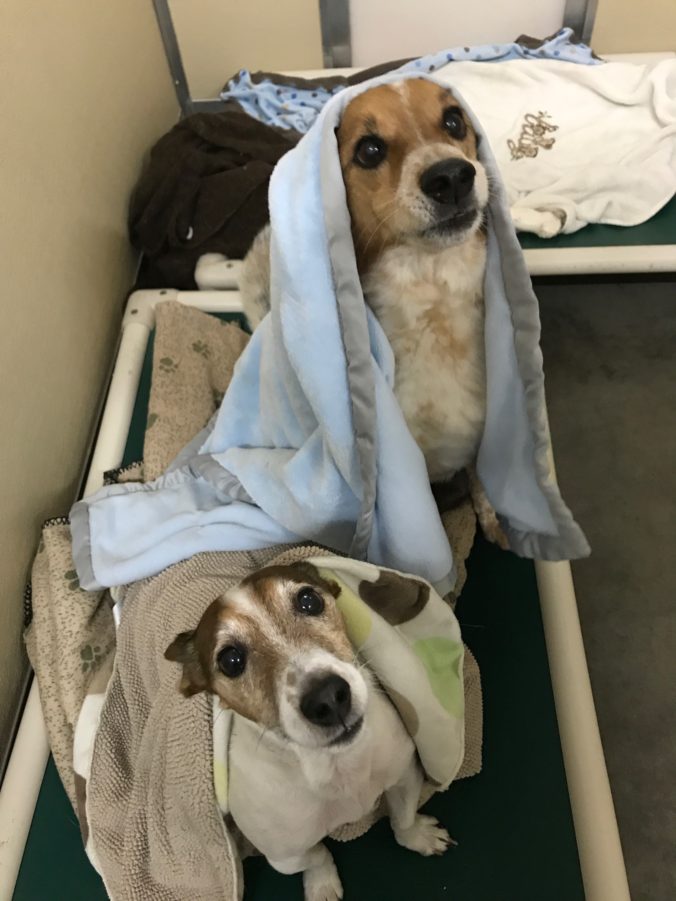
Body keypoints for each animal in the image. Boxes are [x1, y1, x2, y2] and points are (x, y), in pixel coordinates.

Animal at [165, 561, 453, 901]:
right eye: (230, 660)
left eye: (308, 600)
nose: (327, 698)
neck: (339, 766)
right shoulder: (283, 856)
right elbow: (317, 855)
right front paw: (322, 885)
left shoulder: (405, 774)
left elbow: (403, 820)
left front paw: (418, 836)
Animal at [241, 78, 506, 546]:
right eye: (369, 150)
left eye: (454, 121)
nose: (452, 176)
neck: (432, 301)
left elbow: (481, 480)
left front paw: (492, 518)